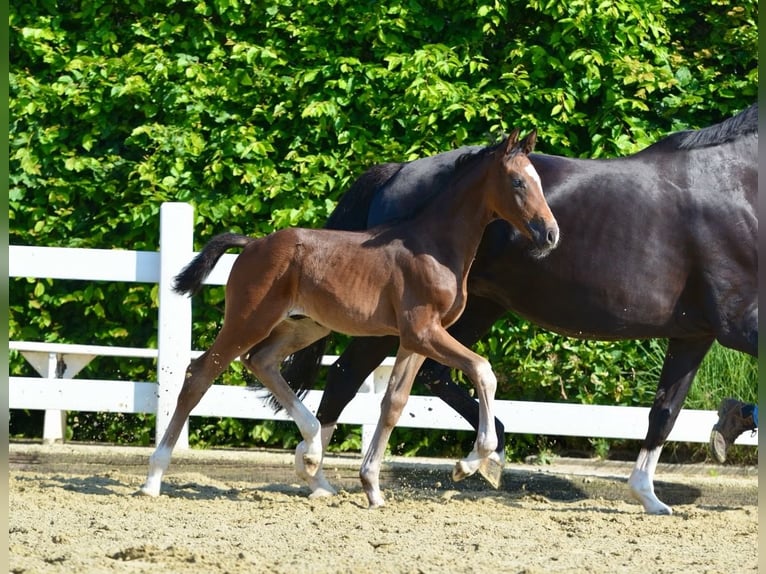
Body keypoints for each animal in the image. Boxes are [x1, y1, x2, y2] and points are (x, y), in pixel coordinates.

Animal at [138, 129, 560, 508]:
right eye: (518, 181)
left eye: (540, 182)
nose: (550, 234)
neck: (433, 245)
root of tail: (252, 243)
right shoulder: (424, 330)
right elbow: (483, 370)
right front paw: (470, 463)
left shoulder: (414, 339)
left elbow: (393, 404)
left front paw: (372, 487)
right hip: (247, 320)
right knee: (199, 375)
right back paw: (153, 479)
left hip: (304, 325)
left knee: (262, 361)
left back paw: (316, 464)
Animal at [280, 103, 758, 515]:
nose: (550, 234)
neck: (739, 184)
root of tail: (395, 172)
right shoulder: (735, 323)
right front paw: (728, 427)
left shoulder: (695, 332)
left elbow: (665, 410)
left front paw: (653, 494)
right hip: (402, 318)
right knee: (347, 375)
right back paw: (316, 470)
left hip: (473, 308)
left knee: (433, 373)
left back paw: (483, 457)